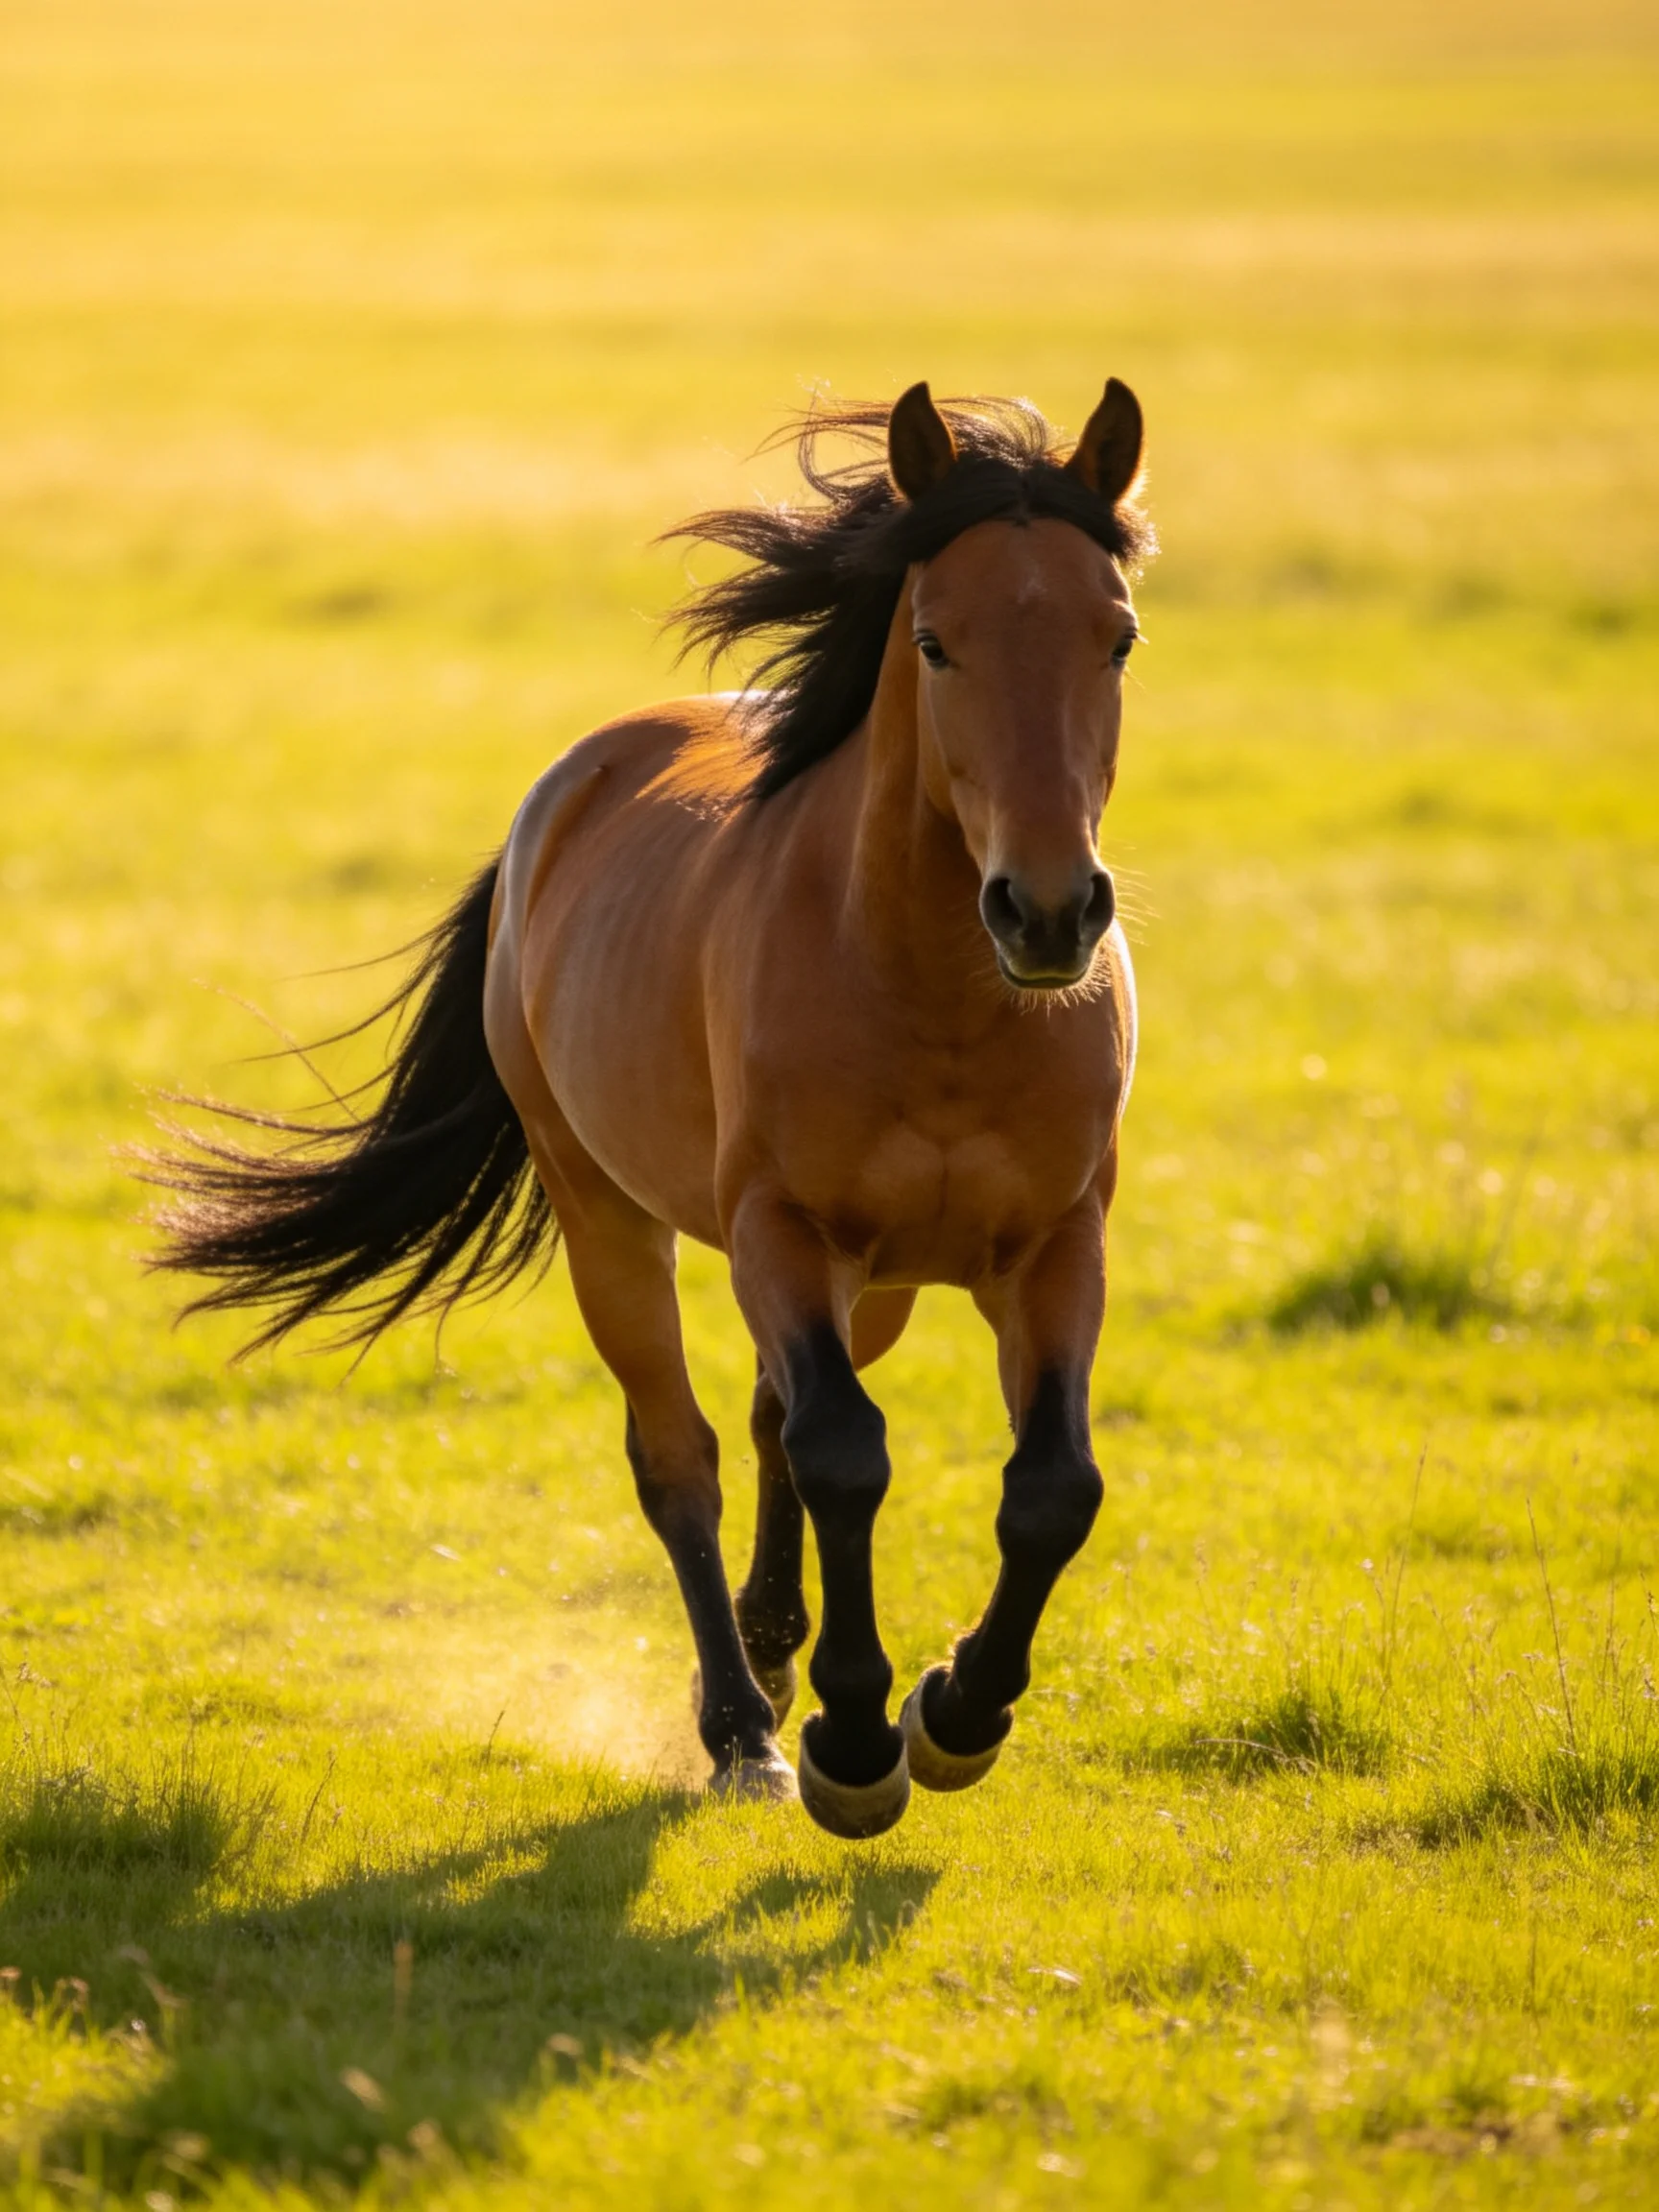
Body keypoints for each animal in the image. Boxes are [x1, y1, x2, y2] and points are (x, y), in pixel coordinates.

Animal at [150, 379, 1152, 1840]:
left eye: (1117, 637)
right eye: (935, 643)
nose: (1049, 911)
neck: (938, 996)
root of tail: (563, 793)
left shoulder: (1053, 1243)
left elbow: (1050, 1488)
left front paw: (959, 1714)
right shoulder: (781, 1231)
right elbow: (843, 1451)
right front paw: (856, 1742)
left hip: (884, 1277)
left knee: (769, 1418)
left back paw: (776, 1655)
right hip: (613, 1220)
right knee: (684, 1455)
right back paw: (744, 1726)